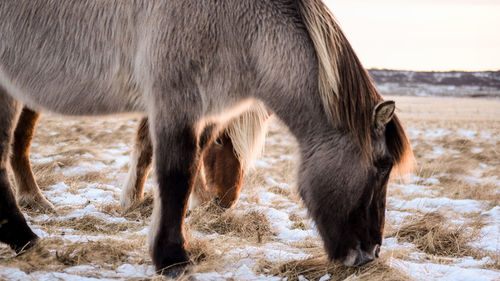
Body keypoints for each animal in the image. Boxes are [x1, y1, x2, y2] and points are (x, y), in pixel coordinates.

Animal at [0, 0, 414, 274]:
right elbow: (175, 175)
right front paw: (171, 257)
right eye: (382, 166)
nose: (370, 254)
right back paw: (25, 231)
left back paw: (22, 236)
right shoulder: (173, 102)